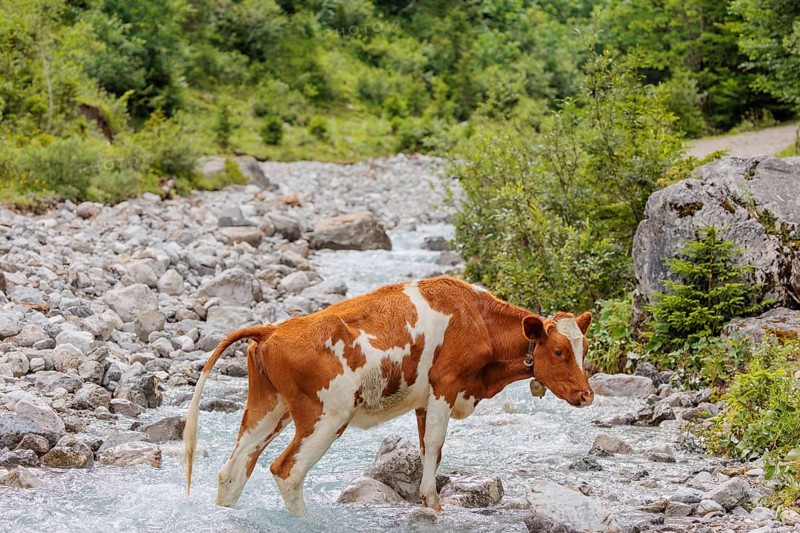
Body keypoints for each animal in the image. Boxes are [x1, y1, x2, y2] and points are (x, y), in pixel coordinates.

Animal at [183, 276, 594, 516]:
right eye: (559, 351)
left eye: (584, 347)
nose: (587, 395)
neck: (476, 318)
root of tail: (272, 330)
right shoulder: (445, 386)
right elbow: (435, 445)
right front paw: (433, 504)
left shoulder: (425, 401)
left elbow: (429, 450)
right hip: (325, 416)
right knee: (287, 471)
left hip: (268, 408)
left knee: (234, 470)